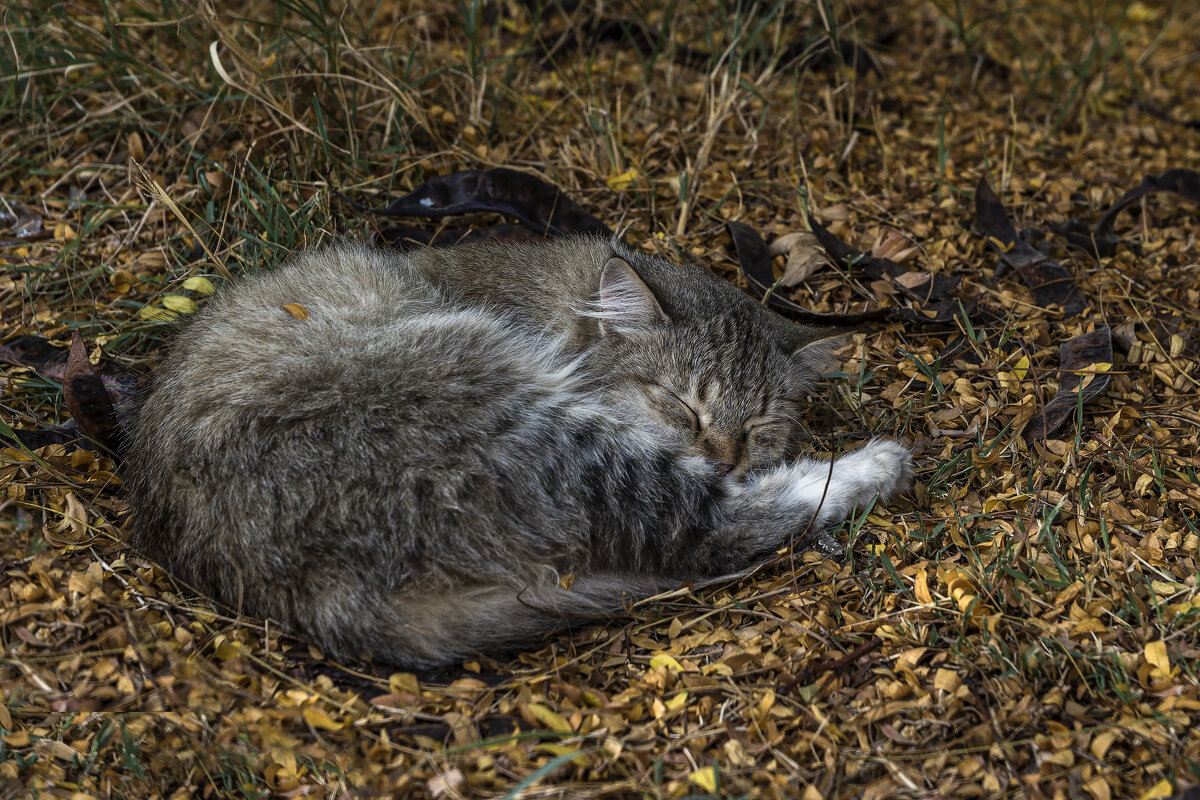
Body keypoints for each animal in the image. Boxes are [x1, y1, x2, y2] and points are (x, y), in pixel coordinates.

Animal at [124, 237, 907, 671]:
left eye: (761, 425)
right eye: (683, 407)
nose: (727, 459)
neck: (554, 302)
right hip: (528, 418)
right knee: (724, 529)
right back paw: (878, 463)